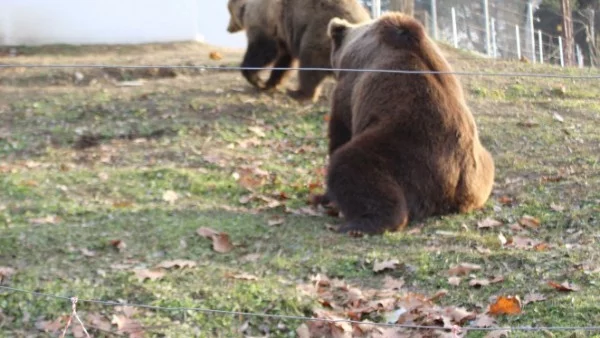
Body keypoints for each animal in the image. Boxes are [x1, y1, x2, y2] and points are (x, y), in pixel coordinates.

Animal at [226, 0, 370, 103]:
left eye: (229, 12)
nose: (228, 28)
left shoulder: (265, 19)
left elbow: (263, 48)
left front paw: (257, 81)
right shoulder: (283, 33)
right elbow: (284, 60)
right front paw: (270, 83)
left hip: (320, 31)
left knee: (309, 62)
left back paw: (299, 93)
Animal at [312, 13, 494, 235]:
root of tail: (457, 186)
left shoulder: (349, 89)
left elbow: (340, 132)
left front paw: (323, 196)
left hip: (408, 154)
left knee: (352, 164)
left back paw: (359, 223)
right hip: (482, 167)